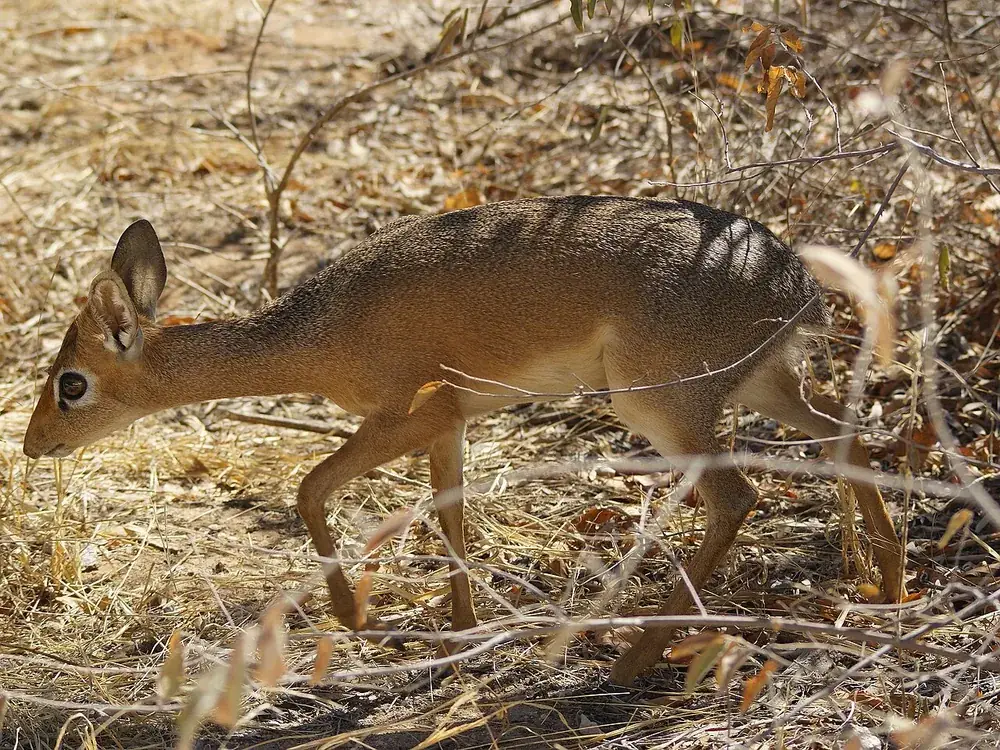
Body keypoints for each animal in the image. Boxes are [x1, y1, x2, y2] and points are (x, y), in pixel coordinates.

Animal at [23, 196, 907, 684]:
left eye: (72, 383)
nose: (32, 447)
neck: (317, 331)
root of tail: (796, 282)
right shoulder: (451, 421)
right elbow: (449, 515)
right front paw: (459, 631)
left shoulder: (409, 413)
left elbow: (309, 484)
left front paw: (355, 615)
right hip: (760, 387)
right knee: (847, 433)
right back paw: (889, 586)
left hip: (661, 407)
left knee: (740, 494)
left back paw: (632, 657)